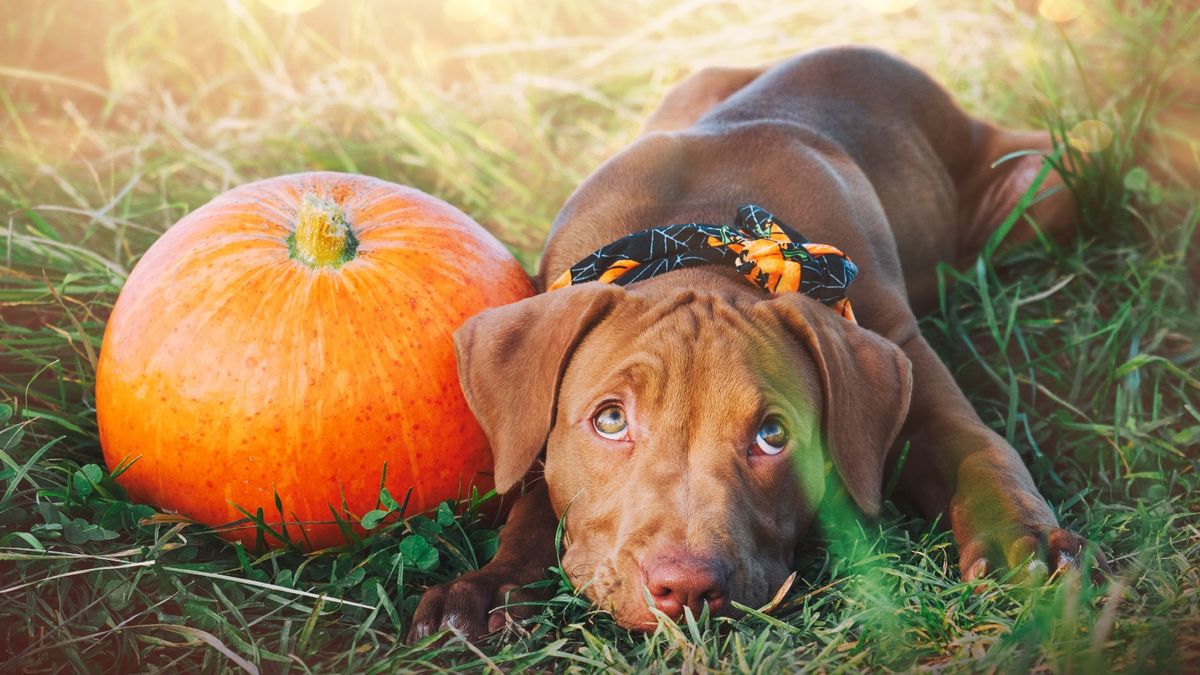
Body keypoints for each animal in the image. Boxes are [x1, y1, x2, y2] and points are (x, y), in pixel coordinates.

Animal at [410, 45, 1099, 634]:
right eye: (609, 421)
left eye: (773, 435)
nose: (685, 588)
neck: (702, 245)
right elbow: (532, 502)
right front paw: (491, 587)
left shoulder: (911, 367)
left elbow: (979, 448)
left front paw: (1020, 540)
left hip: (1053, 177)